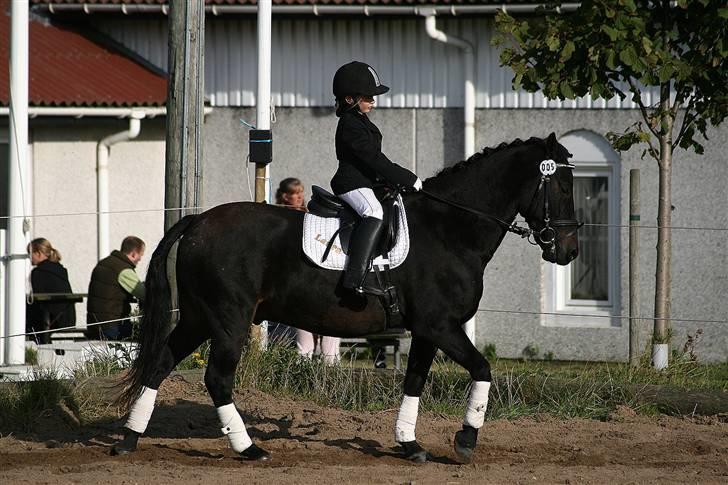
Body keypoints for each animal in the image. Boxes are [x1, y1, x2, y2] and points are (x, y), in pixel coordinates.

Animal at [112, 131, 580, 462]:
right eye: (562, 187)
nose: (568, 251)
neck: (451, 230)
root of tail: (197, 222)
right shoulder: (442, 326)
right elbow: (482, 369)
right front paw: (465, 440)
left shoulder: (426, 331)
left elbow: (414, 381)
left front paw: (410, 444)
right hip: (228, 320)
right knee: (217, 379)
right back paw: (248, 449)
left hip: (198, 317)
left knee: (160, 364)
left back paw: (129, 439)